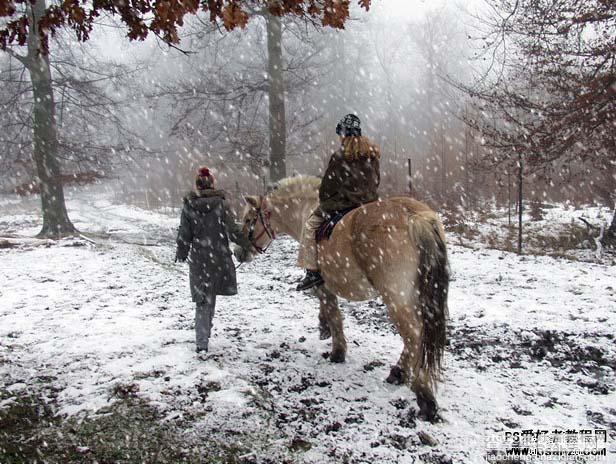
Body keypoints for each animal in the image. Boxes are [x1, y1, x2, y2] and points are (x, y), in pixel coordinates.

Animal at [236, 175, 448, 420]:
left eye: (249, 219)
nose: (238, 252)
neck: (306, 210)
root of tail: (415, 217)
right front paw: (324, 329)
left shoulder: (323, 286)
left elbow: (333, 313)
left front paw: (337, 351)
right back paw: (400, 374)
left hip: (397, 298)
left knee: (414, 335)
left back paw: (423, 395)